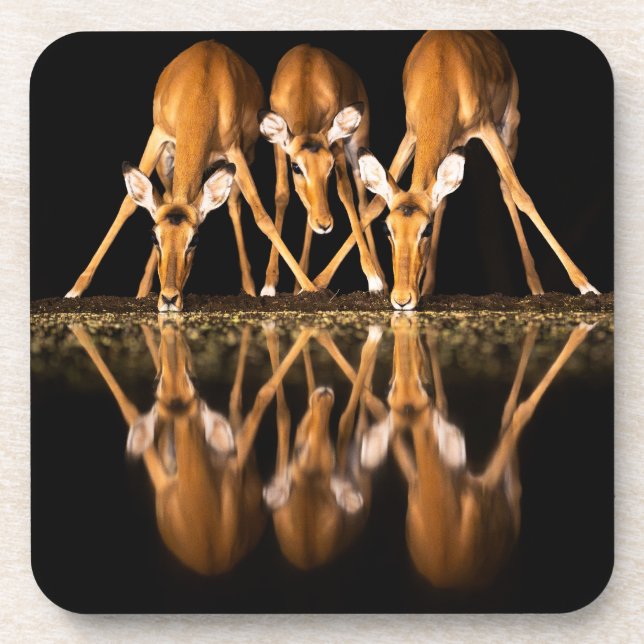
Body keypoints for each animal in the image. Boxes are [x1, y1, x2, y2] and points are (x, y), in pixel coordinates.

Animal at [65, 40, 318, 312]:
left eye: (195, 239)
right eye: (153, 237)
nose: (169, 298)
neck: (203, 89)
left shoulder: (235, 152)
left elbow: (261, 215)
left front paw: (308, 287)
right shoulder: (158, 136)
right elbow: (127, 205)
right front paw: (75, 289)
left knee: (234, 204)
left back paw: (250, 287)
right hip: (167, 161)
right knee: (165, 195)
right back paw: (142, 290)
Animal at [257, 44, 385, 296]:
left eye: (330, 166)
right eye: (296, 166)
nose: (325, 224)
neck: (305, 75)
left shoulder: (336, 143)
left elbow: (345, 192)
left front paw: (373, 279)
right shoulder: (279, 147)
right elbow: (282, 196)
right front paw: (269, 285)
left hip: (356, 146)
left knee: (363, 201)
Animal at [314, 31, 598, 310]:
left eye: (426, 230)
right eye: (388, 229)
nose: (402, 298)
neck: (443, 69)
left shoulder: (487, 128)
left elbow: (523, 197)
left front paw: (586, 285)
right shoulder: (411, 135)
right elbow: (374, 205)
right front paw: (320, 282)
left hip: (509, 129)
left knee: (507, 189)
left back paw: (537, 287)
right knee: (446, 198)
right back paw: (428, 287)